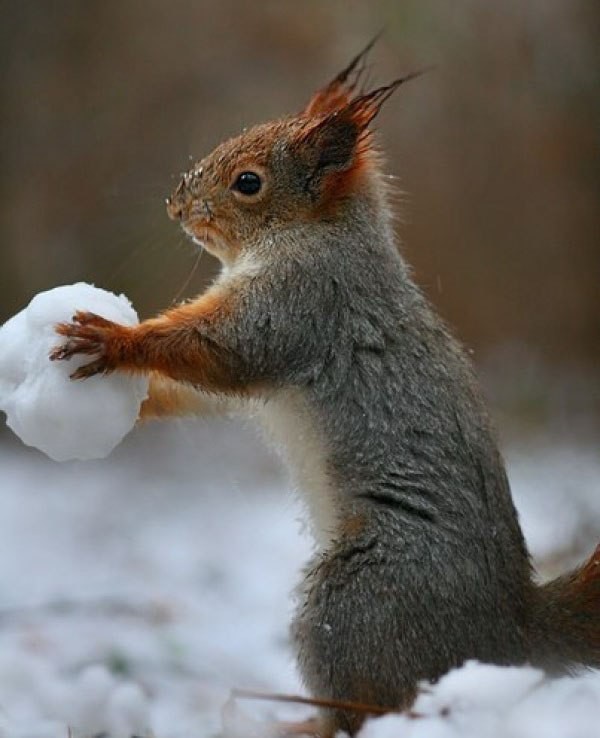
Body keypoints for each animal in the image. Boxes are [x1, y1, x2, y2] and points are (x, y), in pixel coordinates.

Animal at [51, 43, 600, 736]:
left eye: (249, 182)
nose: (176, 205)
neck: (319, 234)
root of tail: (510, 636)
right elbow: (206, 391)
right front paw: (137, 401)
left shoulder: (302, 303)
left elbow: (222, 351)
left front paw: (115, 340)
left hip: (358, 598)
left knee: (370, 704)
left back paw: (302, 722)